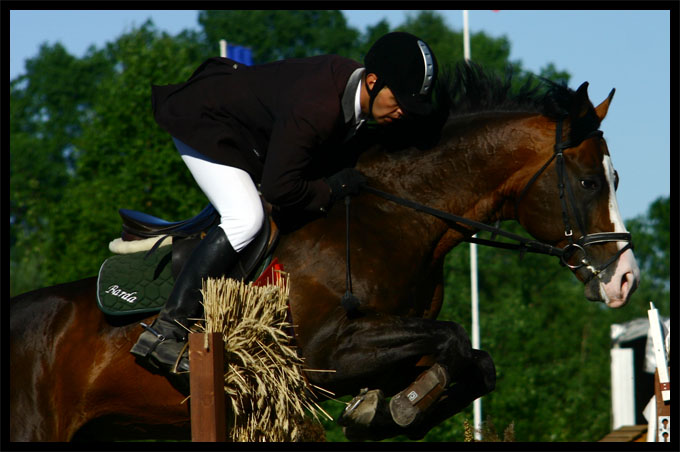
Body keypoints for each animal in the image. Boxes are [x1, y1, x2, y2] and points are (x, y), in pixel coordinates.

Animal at [7, 63, 640, 442]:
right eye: (590, 183)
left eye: (616, 178)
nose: (625, 280)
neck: (395, 216)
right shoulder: (320, 355)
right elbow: (455, 338)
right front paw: (397, 407)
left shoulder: (392, 341)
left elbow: (473, 360)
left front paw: (393, 406)